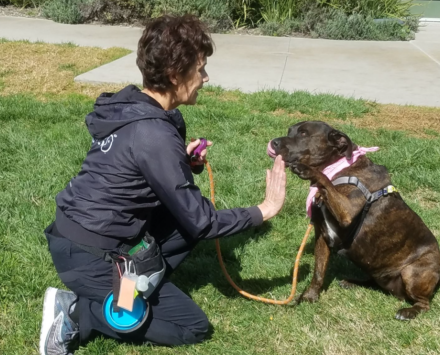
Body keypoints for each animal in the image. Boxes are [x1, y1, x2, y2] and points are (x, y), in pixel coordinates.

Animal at [268, 121, 440, 322]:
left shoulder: (347, 211)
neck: (339, 167)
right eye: (289, 131)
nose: (274, 142)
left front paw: (309, 171)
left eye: (303, 133)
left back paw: (409, 311)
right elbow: (318, 271)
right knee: (374, 282)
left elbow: (325, 180)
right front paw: (310, 296)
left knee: (424, 304)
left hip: (412, 272)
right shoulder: (322, 235)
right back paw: (352, 282)